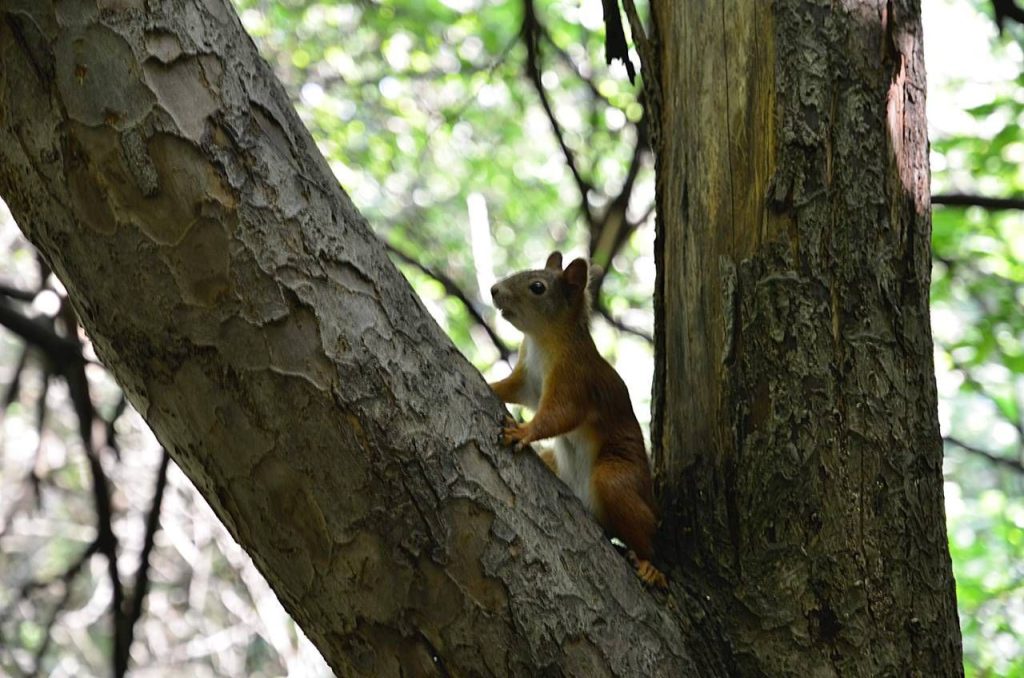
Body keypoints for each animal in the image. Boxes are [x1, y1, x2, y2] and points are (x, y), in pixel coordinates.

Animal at [491, 251, 667, 585]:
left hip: (618, 479)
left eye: (537, 287)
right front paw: (488, 383)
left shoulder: (575, 379)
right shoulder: (527, 379)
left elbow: (560, 415)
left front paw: (523, 432)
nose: (494, 290)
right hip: (555, 461)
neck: (542, 340)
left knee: (649, 536)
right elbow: (509, 388)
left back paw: (651, 565)